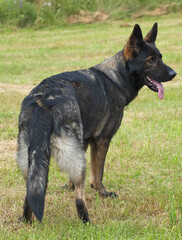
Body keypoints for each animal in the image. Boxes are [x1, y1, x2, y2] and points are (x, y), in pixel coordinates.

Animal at [16, 22, 176, 223]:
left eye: (160, 57)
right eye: (150, 60)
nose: (174, 73)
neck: (118, 76)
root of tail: (43, 100)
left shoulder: (83, 143)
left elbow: (73, 179)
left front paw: (68, 187)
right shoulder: (102, 140)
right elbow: (98, 174)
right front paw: (103, 194)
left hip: (32, 160)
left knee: (30, 191)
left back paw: (27, 219)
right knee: (79, 197)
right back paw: (86, 220)